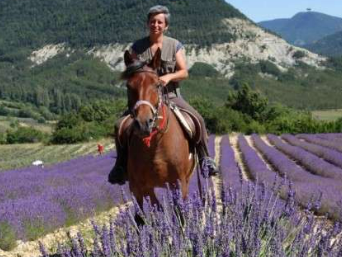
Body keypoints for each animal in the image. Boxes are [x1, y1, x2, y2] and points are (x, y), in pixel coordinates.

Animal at [120, 48, 196, 210]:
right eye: (129, 86)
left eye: (157, 85)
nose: (143, 123)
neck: (155, 145)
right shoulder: (139, 188)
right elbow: (145, 213)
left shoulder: (179, 183)